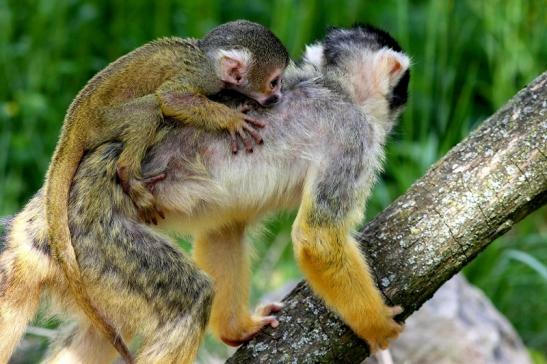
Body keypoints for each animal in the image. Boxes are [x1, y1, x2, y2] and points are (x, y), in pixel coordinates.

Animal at [45, 20, 288, 364]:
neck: (207, 57)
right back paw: (128, 174)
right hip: (104, 124)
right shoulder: (202, 77)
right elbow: (171, 98)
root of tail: (74, 123)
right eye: (273, 81)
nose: (277, 95)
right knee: (149, 107)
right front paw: (231, 120)